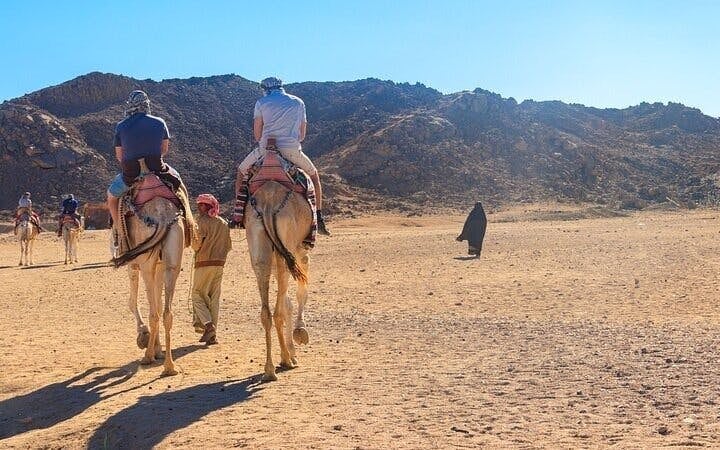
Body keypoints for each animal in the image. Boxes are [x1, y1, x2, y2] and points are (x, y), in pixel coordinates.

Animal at [111, 195, 185, 377]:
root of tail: (163, 216)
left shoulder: (133, 266)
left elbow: (132, 302)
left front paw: (143, 335)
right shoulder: (159, 266)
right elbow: (158, 304)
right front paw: (158, 349)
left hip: (146, 263)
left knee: (153, 314)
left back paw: (147, 356)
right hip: (172, 262)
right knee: (166, 313)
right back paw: (169, 366)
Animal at [245, 180, 313, 382]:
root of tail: (268, 205)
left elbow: (287, 302)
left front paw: (291, 351)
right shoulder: (301, 254)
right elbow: (301, 293)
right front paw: (300, 332)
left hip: (259, 246)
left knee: (267, 312)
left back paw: (270, 369)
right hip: (287, 249)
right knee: (278, 312)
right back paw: (285, 361)